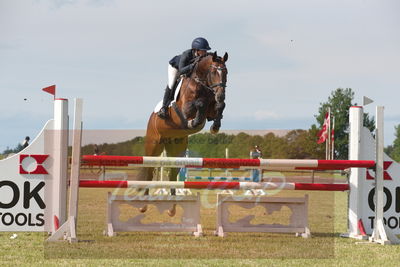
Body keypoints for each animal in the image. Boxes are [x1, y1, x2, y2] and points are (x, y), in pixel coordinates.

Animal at [137, 51, 228, 216]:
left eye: (226, 72)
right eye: (213, 72)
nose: (221, 95)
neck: (202, 83)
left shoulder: (211, 110)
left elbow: (219, 107)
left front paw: (215, 126)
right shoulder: (185, 109)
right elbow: (199, 104)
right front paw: (194, 121)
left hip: (177, 148)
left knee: (173, 174)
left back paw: (172, 208)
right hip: (154, 145)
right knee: (149, 170)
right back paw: (143, 205)